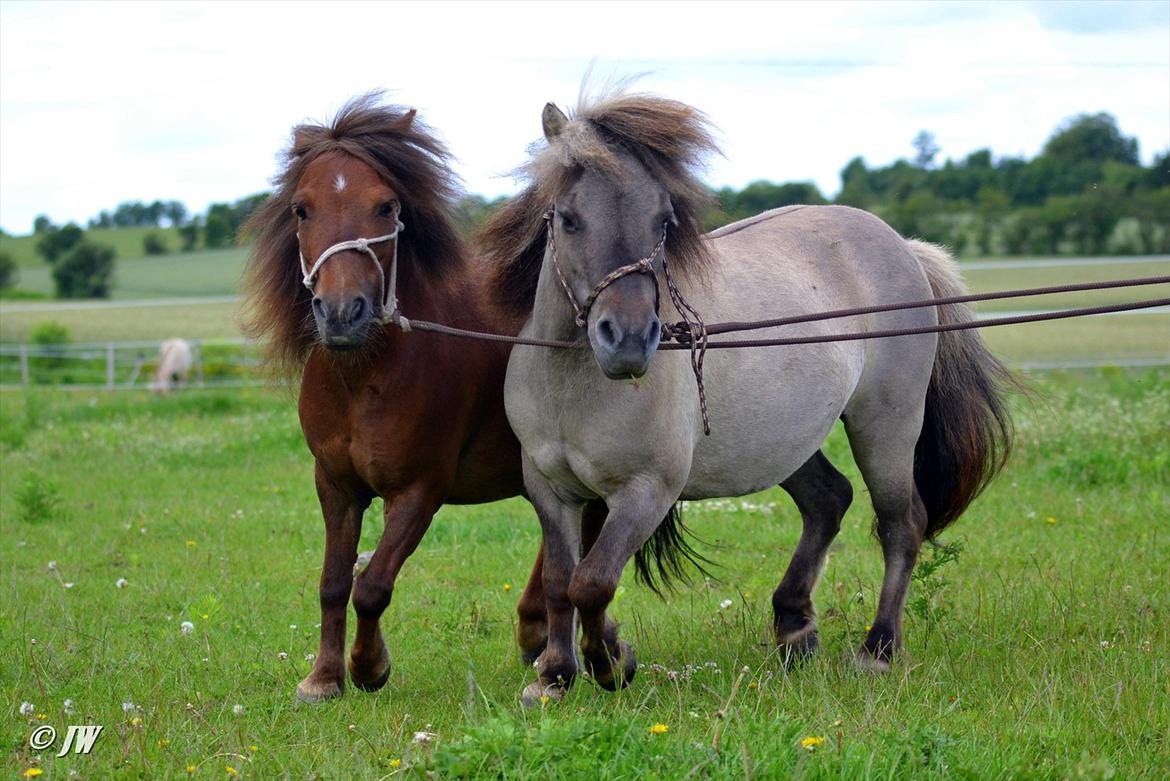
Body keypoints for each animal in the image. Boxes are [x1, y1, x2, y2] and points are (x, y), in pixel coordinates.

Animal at [241, 95, 547, 701]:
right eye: (301, 210)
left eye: (386, 207)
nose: (342, 313)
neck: (364, 377)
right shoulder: (336, 485)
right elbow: (334, 582)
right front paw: (324, 677)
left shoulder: (418, 491)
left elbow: (372, 585)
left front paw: (369, 666)